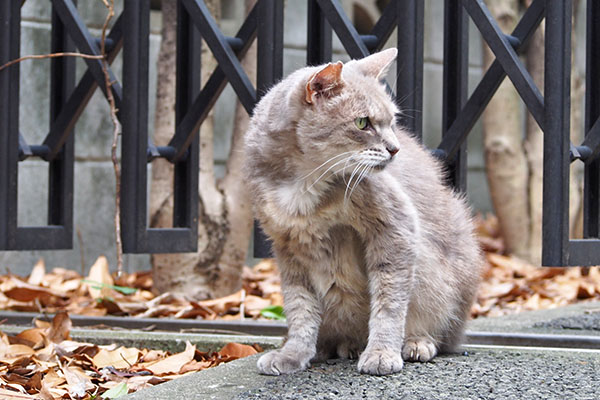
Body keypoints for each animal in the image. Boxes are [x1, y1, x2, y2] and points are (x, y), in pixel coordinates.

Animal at [244, 47, 482, 376]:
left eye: (392, 121)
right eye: (362, 123)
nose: (395, 149)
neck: (303, 180)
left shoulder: (395, 228)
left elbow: (389, 301)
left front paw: (381, 353)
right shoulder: (288, 247)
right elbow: (300, 307)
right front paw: (293, 353)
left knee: (440, 331)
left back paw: (415, 343)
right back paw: (336, 346)